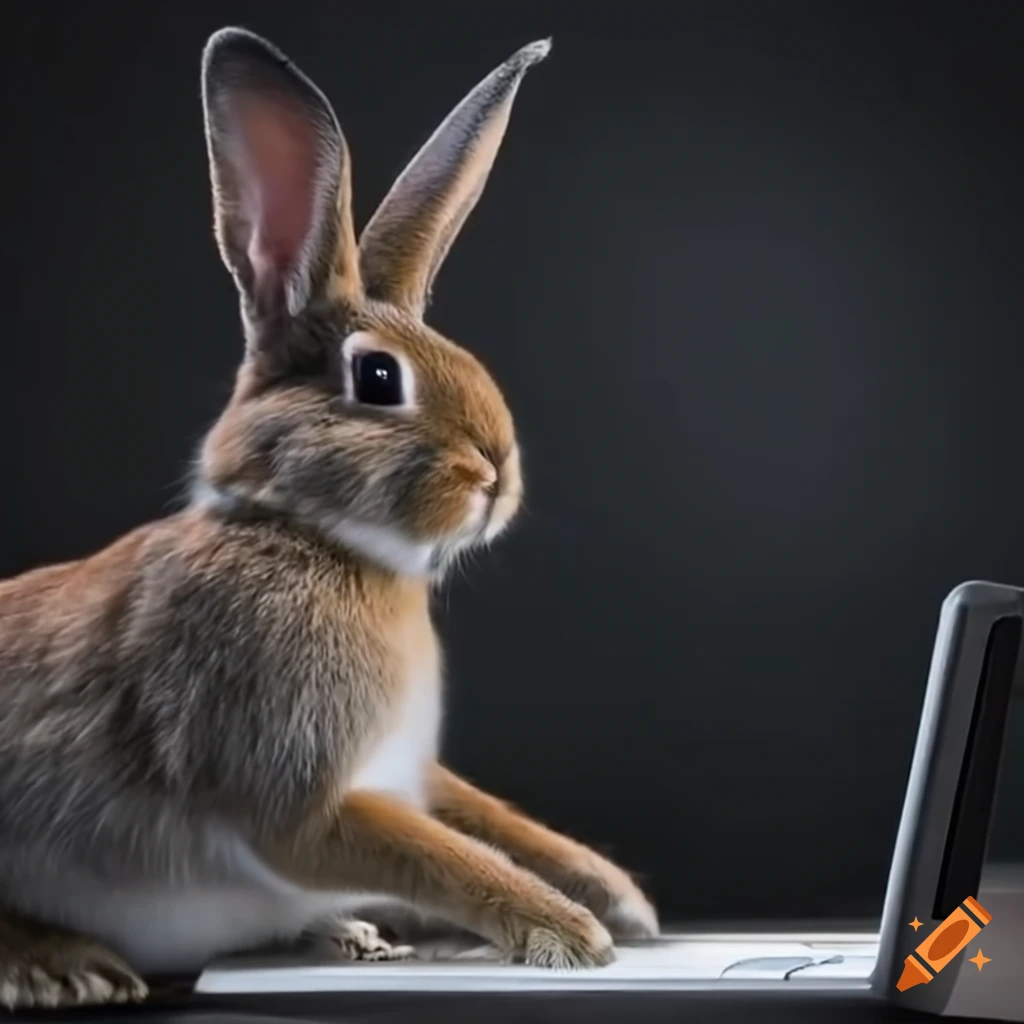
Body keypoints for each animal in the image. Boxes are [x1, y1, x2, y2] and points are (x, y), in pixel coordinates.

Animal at [0, 26, 659, 1011]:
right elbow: (437, 857)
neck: (316, 538)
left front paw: (617, 899)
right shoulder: (293, 789)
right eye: (379, 378)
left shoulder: (409, 773)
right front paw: (566, 932)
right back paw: (62, 966)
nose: (496, 471)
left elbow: (489, 822)